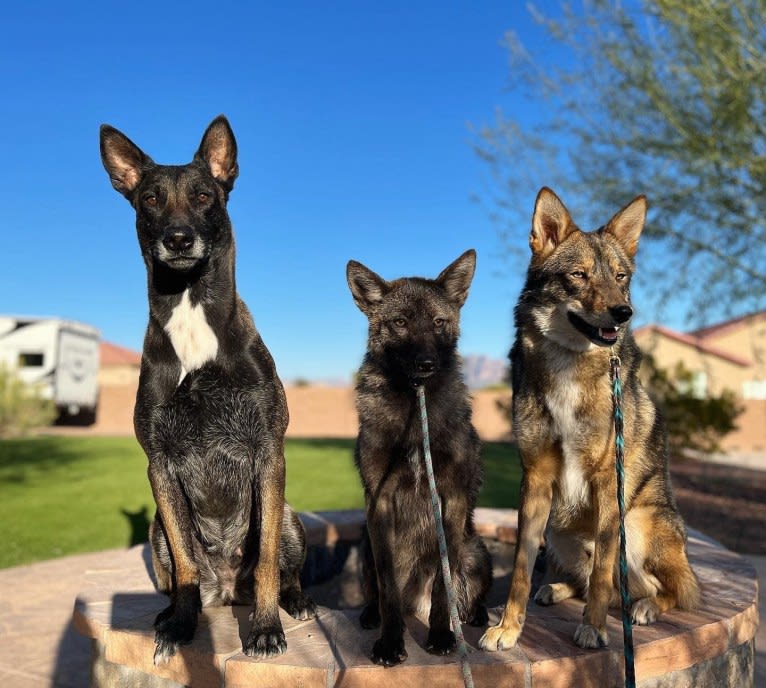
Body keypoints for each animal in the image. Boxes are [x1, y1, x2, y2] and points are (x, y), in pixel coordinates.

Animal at [100, 115, 316, 664]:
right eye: (150, 199)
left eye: (203, 196)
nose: (178, 239)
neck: (191, 311)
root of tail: (228, 590)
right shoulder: (159, 463)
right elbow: (185, 564)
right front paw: (179, 624)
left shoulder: (268, 452)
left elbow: (267, 562)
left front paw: (265, 629)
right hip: (157, 528)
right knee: (185, 571)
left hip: (289, 517)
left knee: (284, 570)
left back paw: (296, 601)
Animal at [346, 251, 492, 668]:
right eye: (400, 322)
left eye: (439, 322)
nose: (426, 364)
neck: (416, 403)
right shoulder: (378, 504)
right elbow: (388, 588)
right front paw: (390, 642)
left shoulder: (451, 498)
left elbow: (446, 586)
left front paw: (442, 636)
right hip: (365, 544)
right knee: (379, 593)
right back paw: (371, 614)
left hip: (477, 550)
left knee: (464, 592)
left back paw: (474, 615)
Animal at [486, 189, 704, 656]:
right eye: (579, 275)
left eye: (621, 277)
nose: (624, 312)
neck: (570, 365)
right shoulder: (535, 479)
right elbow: (520, 568)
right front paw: (507, 629)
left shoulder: (608, 481)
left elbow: (606, 570)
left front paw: (594, 630)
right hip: (558, 529)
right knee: (585, 580)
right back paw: (554, 589)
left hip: (636, 525)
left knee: (663, 589)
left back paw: (645, 608)